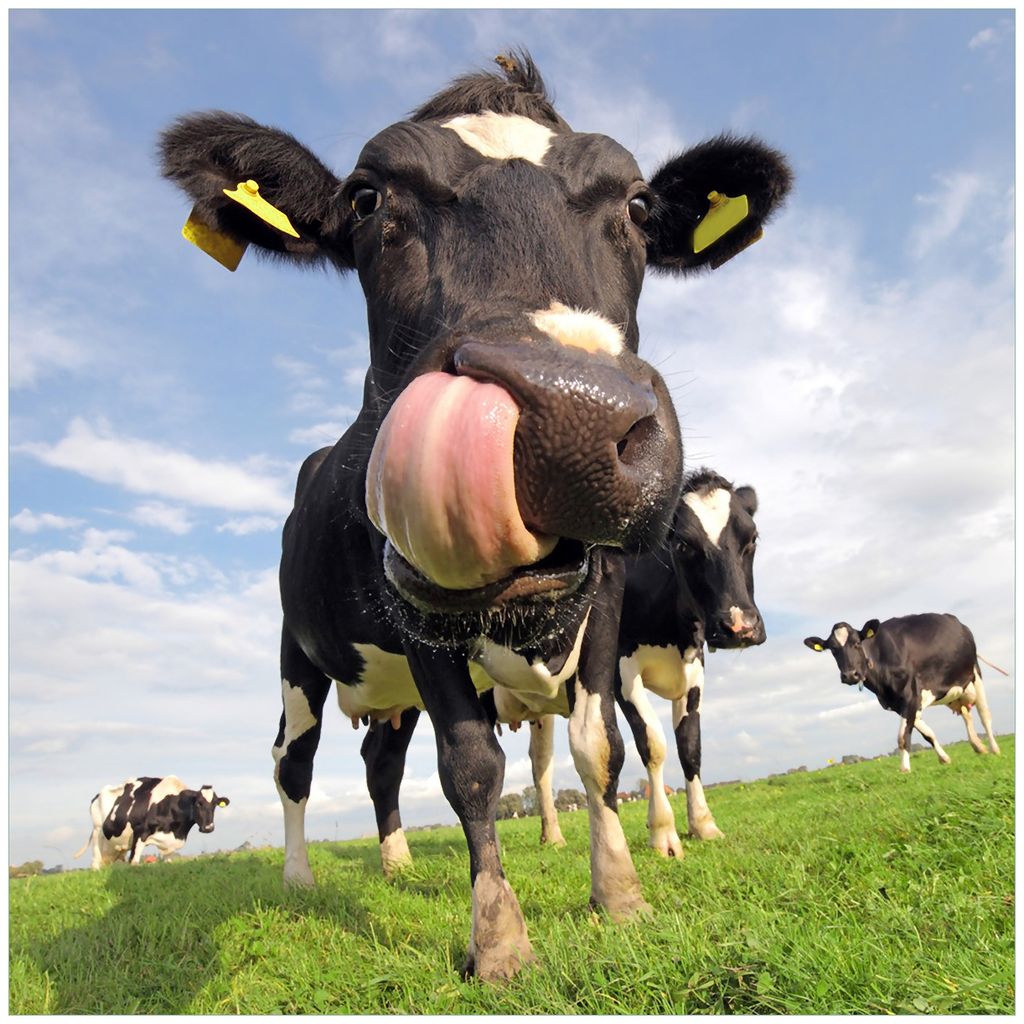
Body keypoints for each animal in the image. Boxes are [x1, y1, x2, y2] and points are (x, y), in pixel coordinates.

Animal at [73, 776, 230, 869]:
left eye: (215, 804)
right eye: (198, 803)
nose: (209, 827)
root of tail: (97, 795)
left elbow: (168, 861)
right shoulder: (139, 831)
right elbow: (134, 862)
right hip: (97, 832)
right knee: (95, 860)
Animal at [160, 51, 791, 980]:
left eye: (639, 206)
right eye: (366, 200)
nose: (573, 415)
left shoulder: (605, 602)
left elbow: (600, 747)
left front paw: (620, 894)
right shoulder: (416, 609)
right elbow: (470, 766)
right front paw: (496, 937)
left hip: (388, 692)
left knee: (380, 761)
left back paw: (393, 860)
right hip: (296, 656)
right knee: (292, 761)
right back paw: (300, 877)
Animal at [803, 613, 1002, 772]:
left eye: (857, 643)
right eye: (833, 649)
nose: (850, 675)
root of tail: (959, 624)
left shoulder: (910, 695)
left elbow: (902, 737)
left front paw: (905, 769)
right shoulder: (899, 703)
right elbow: (927, 733)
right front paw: (944, 758)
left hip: (974, 673)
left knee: (985, 715)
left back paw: (994, 749)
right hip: (955, 690)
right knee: (966, 714)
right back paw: (978, 746)